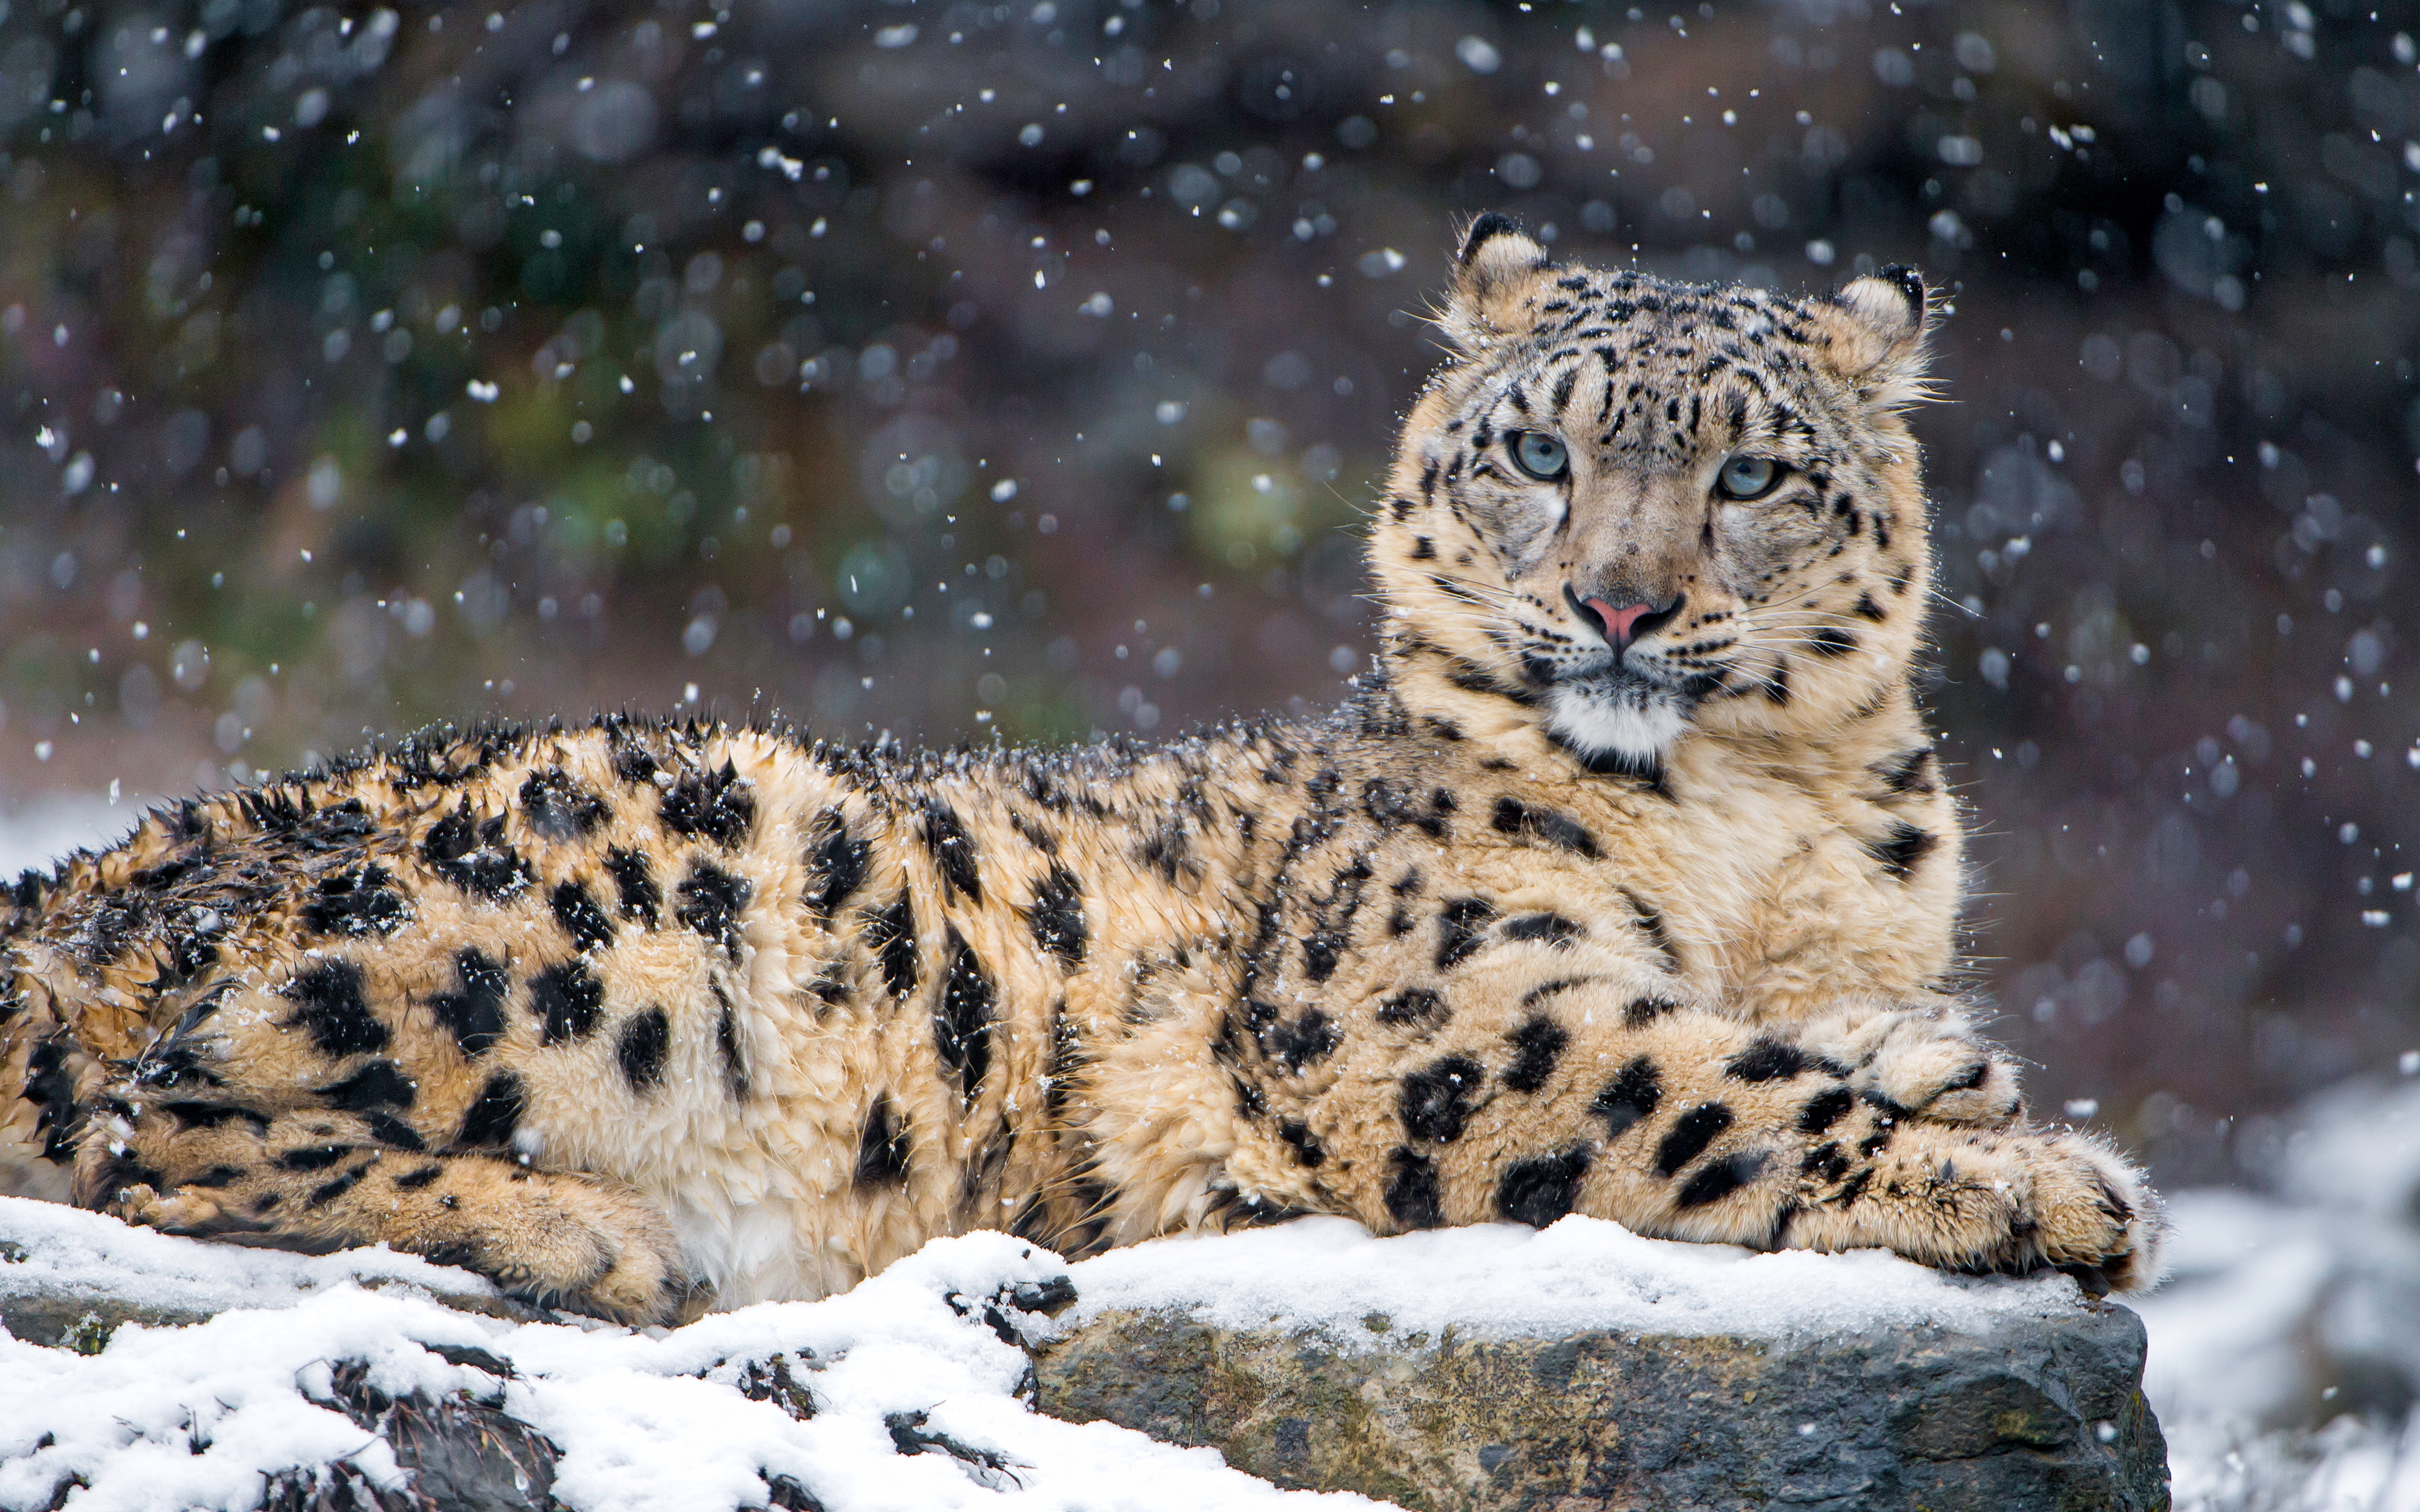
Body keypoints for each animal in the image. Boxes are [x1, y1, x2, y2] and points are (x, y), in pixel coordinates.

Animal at [0, 217, 2162, 1325]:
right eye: (1539, 452)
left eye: (1753, 474)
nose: (1621, 606)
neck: (1751, 827)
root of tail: (84, 871)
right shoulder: (1421, 1001)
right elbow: (1700, 1085)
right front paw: (2036, 1181)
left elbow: (1795, 1031)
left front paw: (1947, 1063)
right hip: (624, 894)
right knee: (150, 1120)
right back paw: (580, 1232)